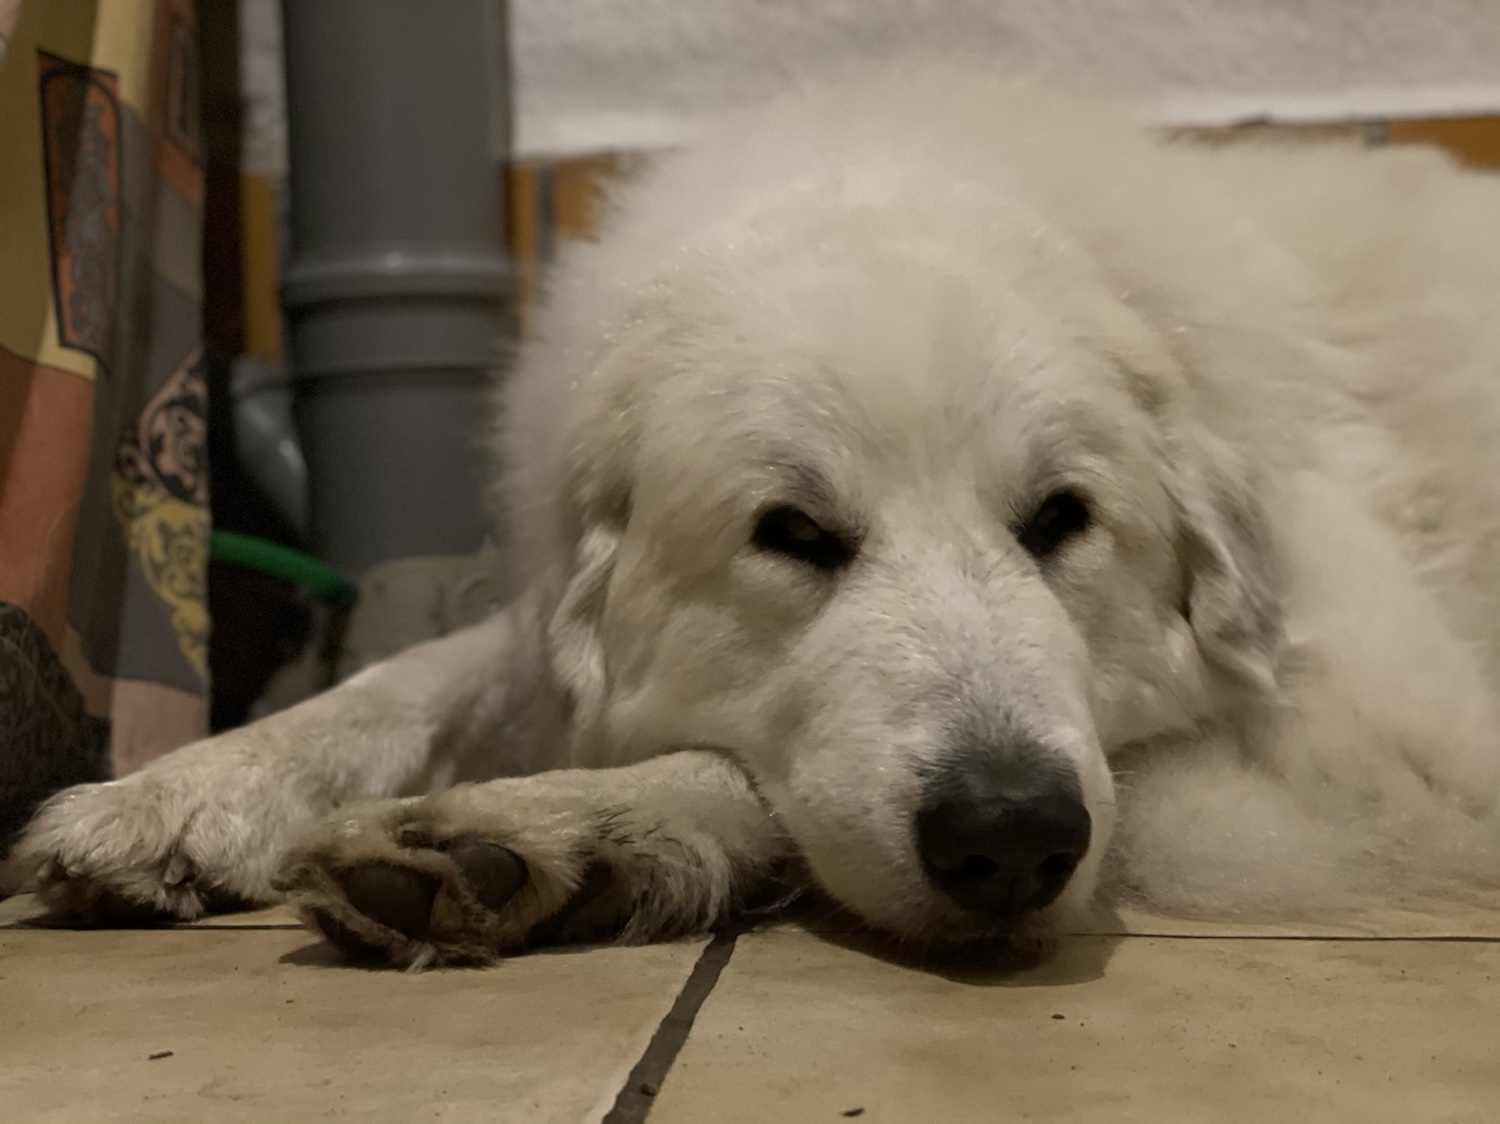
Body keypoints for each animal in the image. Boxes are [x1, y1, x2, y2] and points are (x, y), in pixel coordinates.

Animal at [11, 61, 1500, 967]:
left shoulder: (1370, 754)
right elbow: (413, 676)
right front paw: (187, 789)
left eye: (1061, 520)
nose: (1013, 833)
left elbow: (741, 772)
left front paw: (567, 829)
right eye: (794, 536)